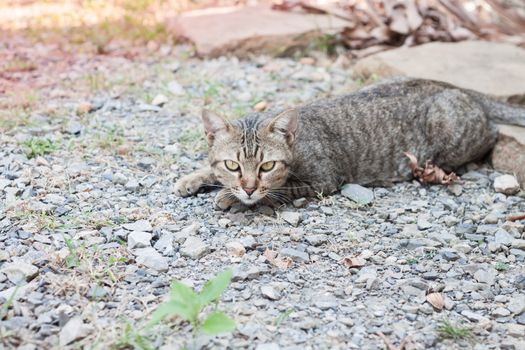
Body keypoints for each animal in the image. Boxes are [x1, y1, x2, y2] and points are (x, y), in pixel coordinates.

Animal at [175, 78, 524, 209]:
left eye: (268, 166)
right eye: (233, 165)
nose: (247, 188)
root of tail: (458, 87)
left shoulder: (322, 180)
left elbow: (280, 190)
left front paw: (228, 196)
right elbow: (210, 168)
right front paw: (193, 178)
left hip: (451, 132)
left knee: (491, 135)